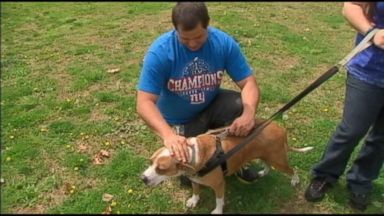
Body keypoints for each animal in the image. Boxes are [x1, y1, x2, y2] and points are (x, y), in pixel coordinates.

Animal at [140, 119, 314, 213]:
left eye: (161, 169)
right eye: (150, 161)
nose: (143, 178)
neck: (194, 155)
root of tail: (280, 128)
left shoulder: (219, 185)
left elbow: (219, 200)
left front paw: (217, 211)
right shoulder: (195, 180)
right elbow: (196, 191)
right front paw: (194, 200)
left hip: (278, 159)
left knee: (292, 169)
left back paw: (294, 180)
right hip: (265, 155)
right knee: (268, 166)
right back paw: (262, 173)